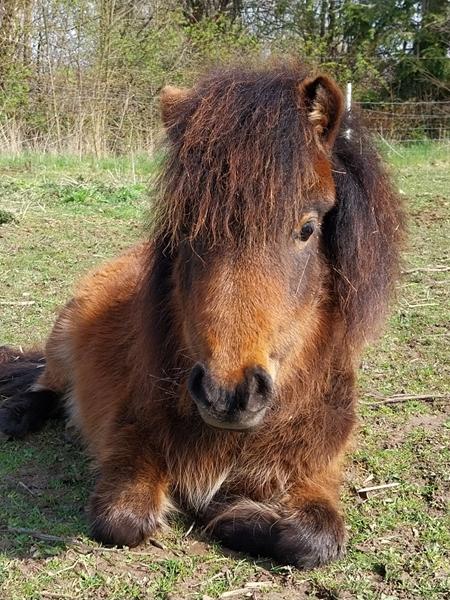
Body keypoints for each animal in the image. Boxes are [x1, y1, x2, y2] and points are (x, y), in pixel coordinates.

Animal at [0, 63, 404, 568]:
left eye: (307, 229)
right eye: (188, 227)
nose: (227, 394)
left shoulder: (318, 467)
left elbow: (318, 538)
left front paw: (232, 514)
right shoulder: (130, 440)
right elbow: (122, 519)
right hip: (61, 338)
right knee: (47, 386)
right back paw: (15, 415)